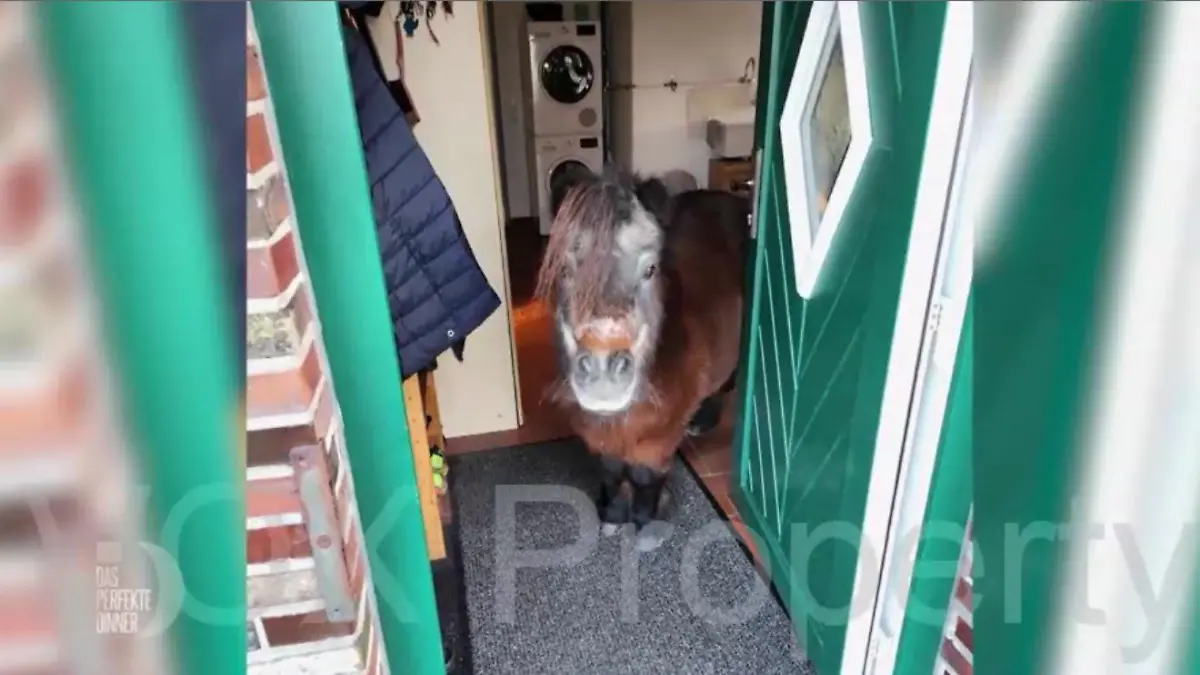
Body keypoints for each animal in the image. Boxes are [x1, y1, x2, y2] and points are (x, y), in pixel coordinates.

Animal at [535, 166, 748, 548]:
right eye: (564, 270)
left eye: (650, 269)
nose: (603, 374)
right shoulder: (599, 431)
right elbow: (610, 469)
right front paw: (613, 516)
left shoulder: (659, 435)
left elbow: (643, 473)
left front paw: (646, 525)